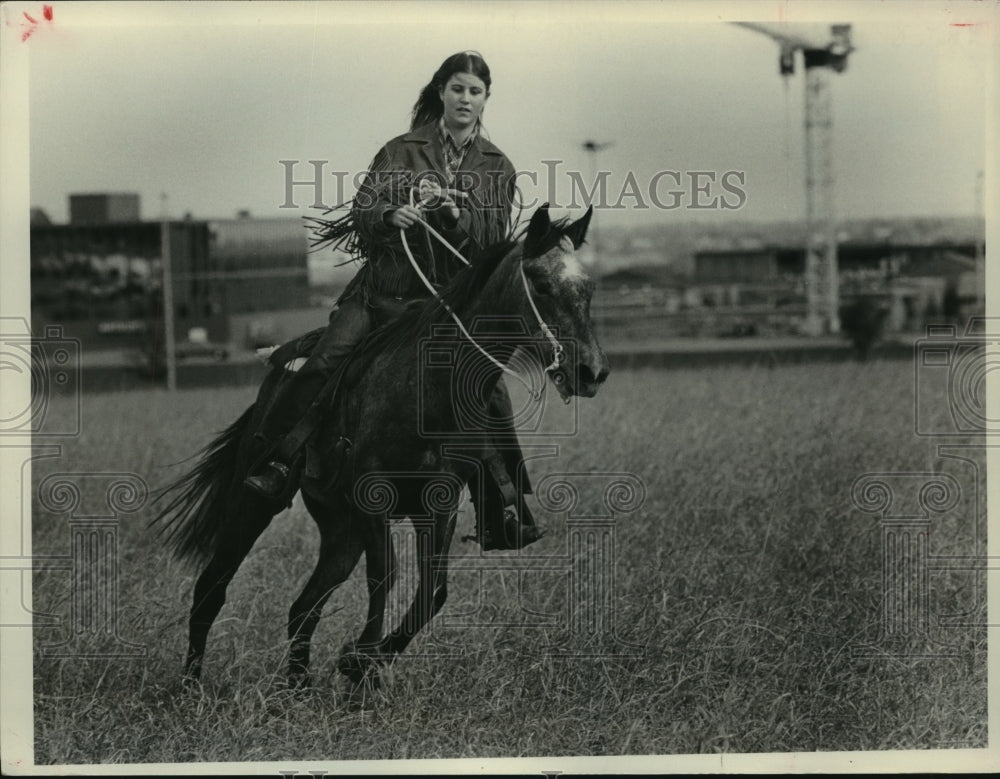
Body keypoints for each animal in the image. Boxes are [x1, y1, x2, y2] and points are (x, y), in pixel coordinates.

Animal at [154, 204, 608, 692]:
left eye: (588, 287)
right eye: (540, 284)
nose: (591, 371)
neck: (427, 388)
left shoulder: (438, 504)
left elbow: (433, 590)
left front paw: (363, 663)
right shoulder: (374, 498)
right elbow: (385, 576)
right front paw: (361, 663)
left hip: (340, 527)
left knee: (303, 608)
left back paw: (297, 687)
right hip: (253, 501)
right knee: (211, 588)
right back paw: (191, 686)